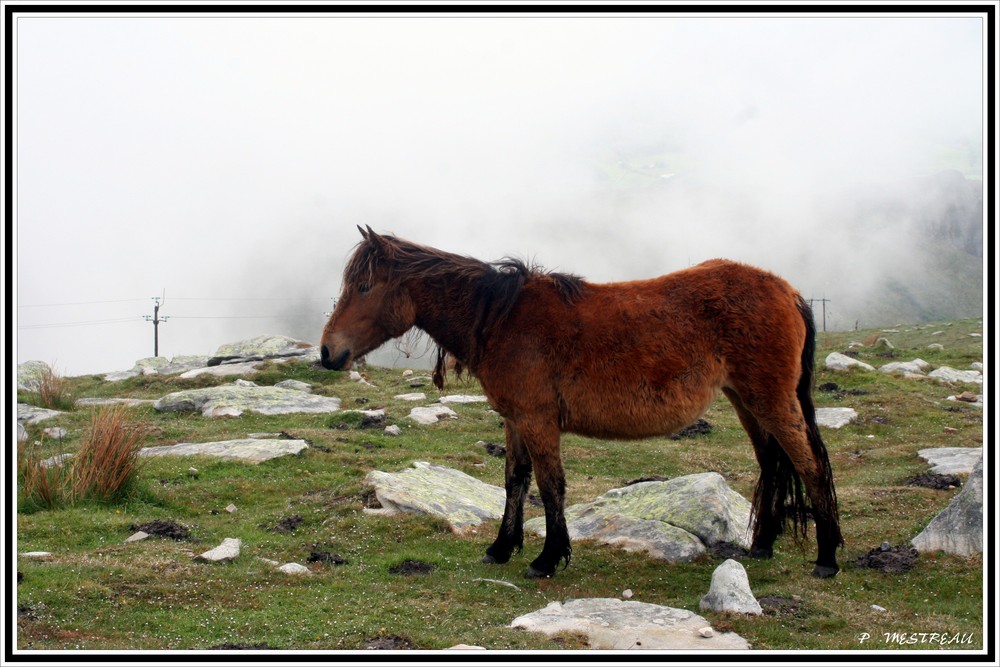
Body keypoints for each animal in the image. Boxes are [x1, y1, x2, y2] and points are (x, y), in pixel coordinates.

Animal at [320, 226, 844, 580]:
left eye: (363, 287)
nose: (328, 352)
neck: (500, 317)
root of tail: (788, 291)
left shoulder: (537, 420)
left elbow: (550, 486)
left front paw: (548, 558)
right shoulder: (515, 421)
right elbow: (515, 482)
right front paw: (501, 548)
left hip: (770, 399)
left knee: (810, 464)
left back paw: (827, 558)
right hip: (746, 401)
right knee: (774, 464)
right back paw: (762, 547)